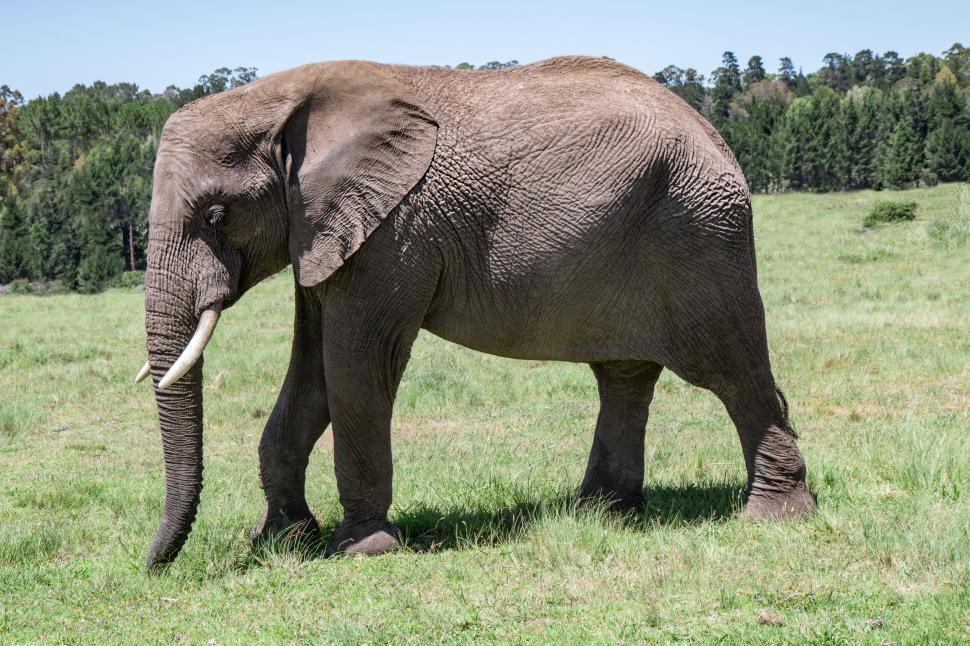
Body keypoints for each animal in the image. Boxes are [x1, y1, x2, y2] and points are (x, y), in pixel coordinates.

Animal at [135, 56, 815, 570]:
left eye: (217, 214)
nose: (150, 565)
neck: (281, 99)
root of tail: (712, 130)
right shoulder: (326, 232)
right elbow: (312, 375)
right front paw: (281, 539)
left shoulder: (394, 231)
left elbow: (359, 363)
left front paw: (362, 550)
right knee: (623, 377)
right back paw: (601, 513)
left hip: (700, 235)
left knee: (733, 371)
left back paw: (774, 515)